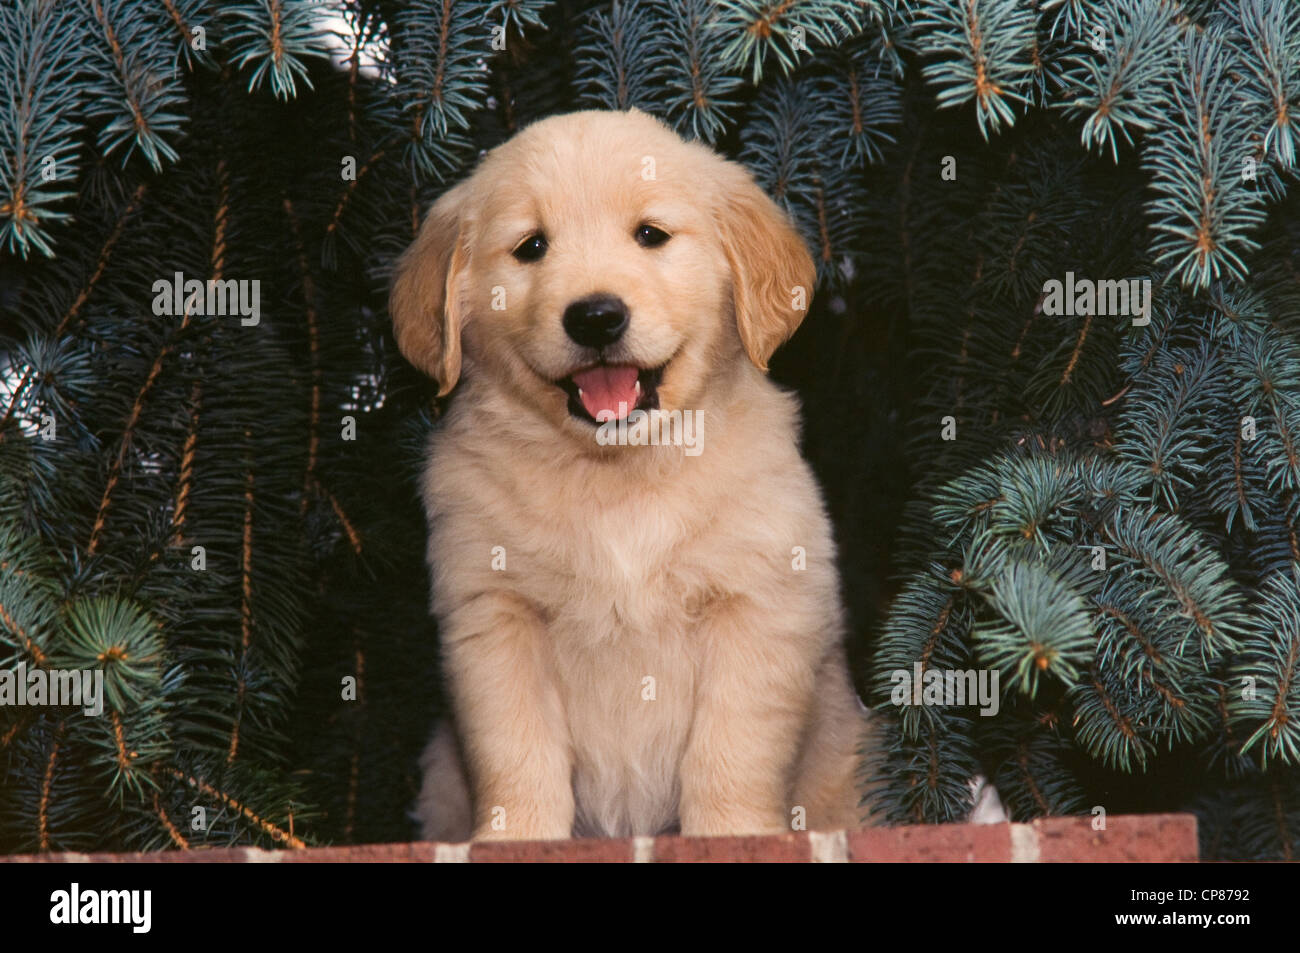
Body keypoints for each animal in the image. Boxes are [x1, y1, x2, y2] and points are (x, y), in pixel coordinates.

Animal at [384, 109, 873, 842]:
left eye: (650, 235)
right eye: (531, 246)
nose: (595, 317)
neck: (617, 476)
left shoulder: (759, 603)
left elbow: (733, 747)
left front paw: (732, 833)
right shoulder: (494, 611)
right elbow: (515, 748)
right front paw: (515, 837)